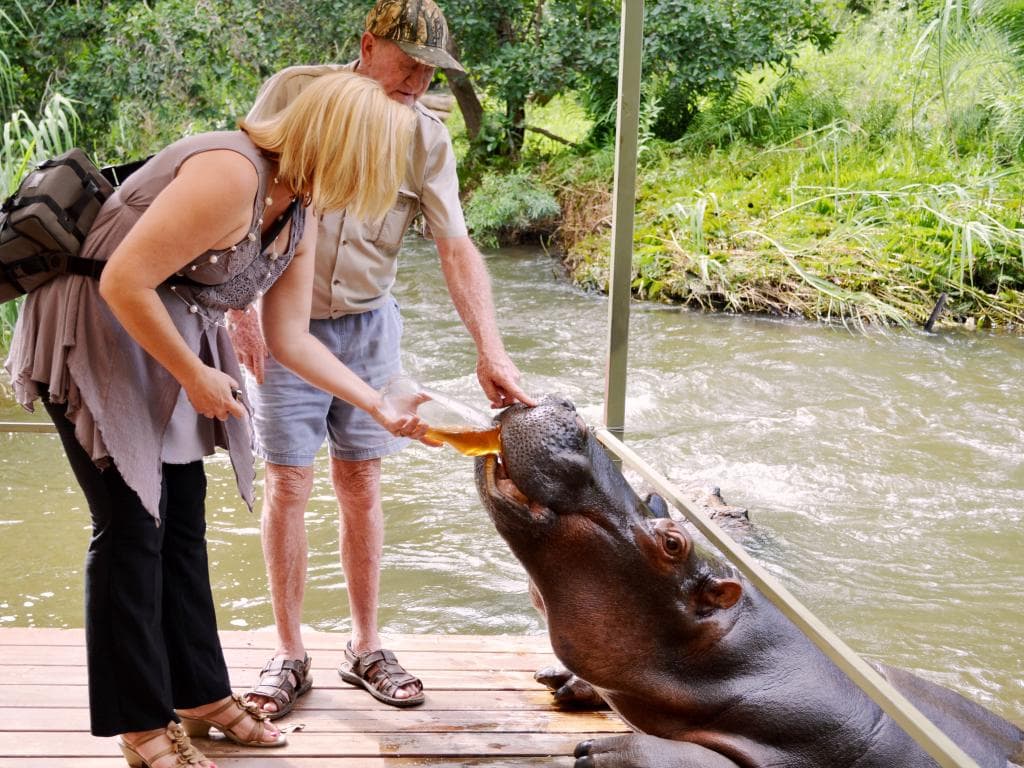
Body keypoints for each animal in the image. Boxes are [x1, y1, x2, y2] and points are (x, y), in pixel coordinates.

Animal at [474, 396, 1024, 768]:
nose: (569, 406)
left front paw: (604, 751)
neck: (738, 662)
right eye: (654, 500)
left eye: (672, 543)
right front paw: (565, 681)